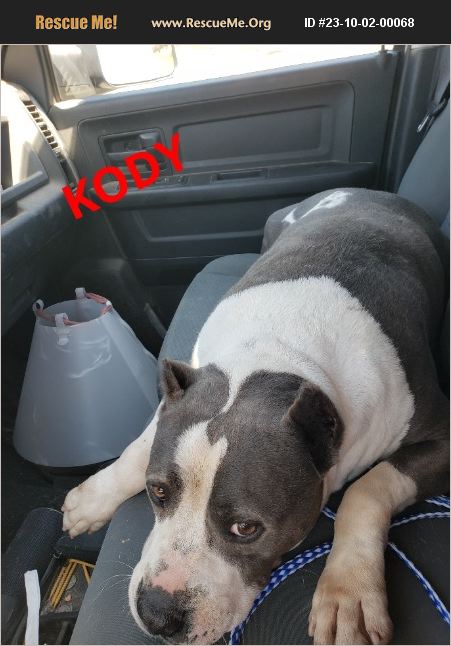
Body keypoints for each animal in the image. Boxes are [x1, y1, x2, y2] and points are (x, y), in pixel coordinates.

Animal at [62, 188, 449, 645]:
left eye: (246, 529)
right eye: (157, 492)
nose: (157, 614)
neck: (282, 353)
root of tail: (365, 192)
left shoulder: (442, 436)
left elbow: (366, 490)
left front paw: (348, 591)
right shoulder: (185, 392)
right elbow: (138, 449)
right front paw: (92, 500)